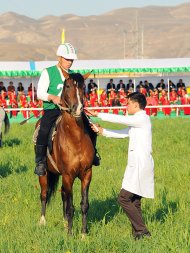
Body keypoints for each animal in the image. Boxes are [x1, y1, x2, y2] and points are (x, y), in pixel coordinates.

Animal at [38, 69, 95, 235]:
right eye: (68, 86)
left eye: (83, 87)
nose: (78, 108)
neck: (75, 139)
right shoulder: (68, 175)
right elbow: (70, 207)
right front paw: (70, 235)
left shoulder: (86, 174)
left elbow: (84, 204)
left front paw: (83, 234)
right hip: (44, 175)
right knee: (44, 194)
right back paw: (42, 221)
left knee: (63, 193)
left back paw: (64, 223)